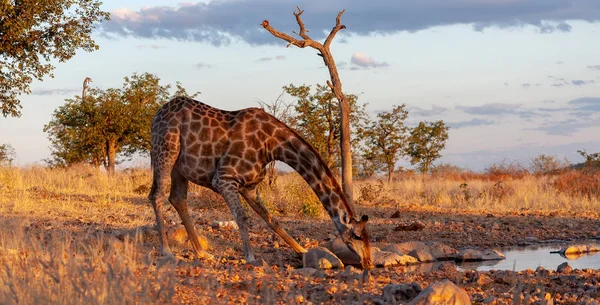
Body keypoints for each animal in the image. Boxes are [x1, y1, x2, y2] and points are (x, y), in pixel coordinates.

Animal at [148, 96, 372, 268]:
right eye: (356, 236)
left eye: (369, 236)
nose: (368, 262)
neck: (273, 145)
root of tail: (156, 115)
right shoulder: (224, 178)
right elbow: (242, 217)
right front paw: (251, 257)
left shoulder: (249, 187)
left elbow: (271, 219)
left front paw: (302, 250)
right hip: (166, 150)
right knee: (157, 195)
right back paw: (167, 251)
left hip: (180, 168)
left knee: (177, 198)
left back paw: (202, 253)